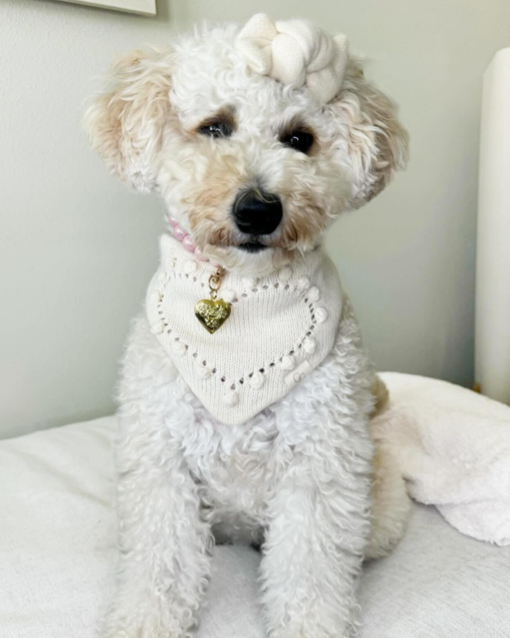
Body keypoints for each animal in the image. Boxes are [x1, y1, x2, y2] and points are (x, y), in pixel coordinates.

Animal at [84, 13, 410, 638]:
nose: (258, 209)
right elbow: (161, 555)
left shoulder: (321, 461)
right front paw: (147, 617)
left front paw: (310, 625)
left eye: (300, 138)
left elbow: (309, 565)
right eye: (214, 126)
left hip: (378, 507)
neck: (242, 296)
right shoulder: (161, 454)